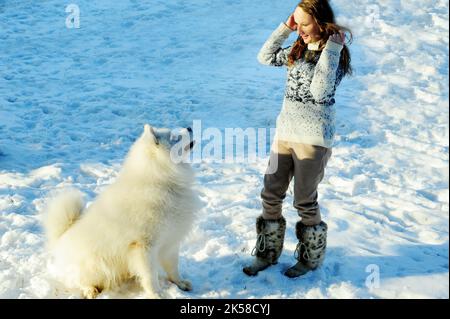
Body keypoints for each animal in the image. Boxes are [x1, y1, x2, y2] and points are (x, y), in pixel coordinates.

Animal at [43, 124, 199, 298]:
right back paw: (90, 290)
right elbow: (150, 276)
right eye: (174, 137)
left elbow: (173, 267)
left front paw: (180, 283)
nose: (189, 127)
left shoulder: (170, 240)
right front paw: (156, 294)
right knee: (79, 281)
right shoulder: (143, 246)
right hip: (95, 265)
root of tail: (62, 237)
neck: (161, 181)